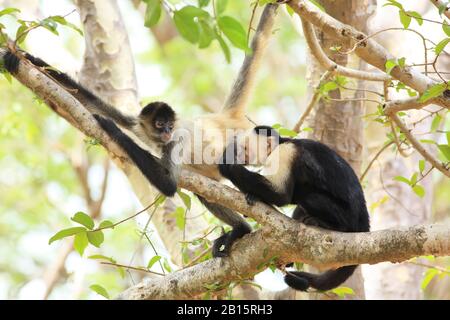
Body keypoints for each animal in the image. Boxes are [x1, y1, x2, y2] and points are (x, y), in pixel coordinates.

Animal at [1, 3, 280, 258]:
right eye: (159, 124)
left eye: (169, 125)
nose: (166, 130)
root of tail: (221, 118)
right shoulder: (138, 124)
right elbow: (91, 101)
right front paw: (27, 59)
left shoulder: (178, 139)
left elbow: (168, 185)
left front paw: (111, 129)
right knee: (207, 196)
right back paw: (242, 229)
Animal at [218, 126, 370, 292]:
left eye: (246, 148)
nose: (242, 156)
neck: (280, 144)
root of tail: (363, 220)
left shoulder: (285, 153)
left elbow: (282, 195)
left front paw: (228, 164)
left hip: (348, 217)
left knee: (309, 196)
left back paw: (331, 226)